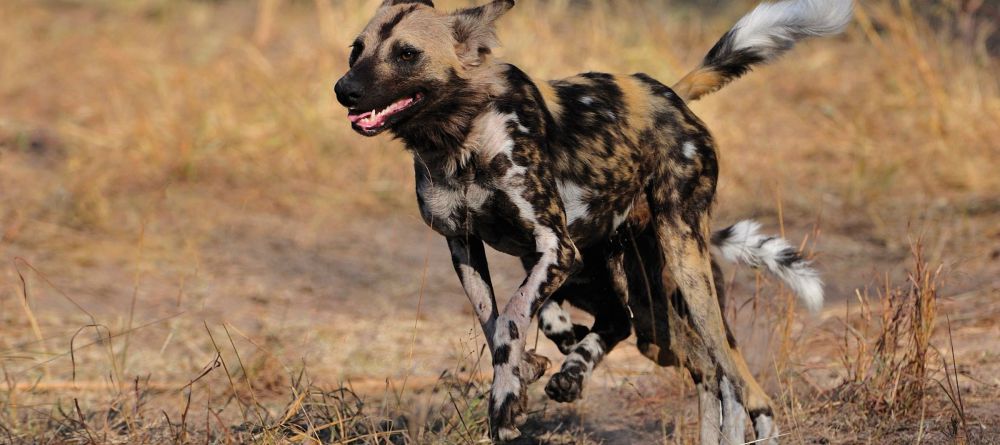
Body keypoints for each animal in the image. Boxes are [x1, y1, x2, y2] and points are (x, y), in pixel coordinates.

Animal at [336, 0, 852, 440]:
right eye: (355, 50)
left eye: (406, 54)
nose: (344, 90)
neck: (458, 138)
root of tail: (671, 96)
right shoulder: (464, 246)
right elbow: (494, 321)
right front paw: (523, 375)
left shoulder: (557, 247)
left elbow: (511, 317)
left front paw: (506, 400)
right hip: (648, 314)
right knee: (701, 369)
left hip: (687, 271)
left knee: (732, 380)